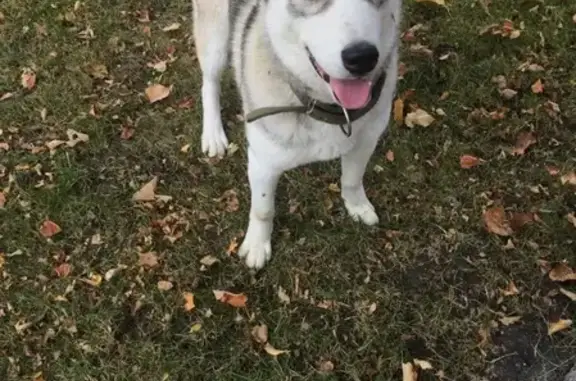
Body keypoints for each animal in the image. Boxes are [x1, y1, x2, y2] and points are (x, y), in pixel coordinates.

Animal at [192, 0, 400, 268]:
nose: (362, 58)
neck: (326, 107)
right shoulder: (263, 163)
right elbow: (263, 209)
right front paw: (257, 245)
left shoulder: (365, 142)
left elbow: (352, 180)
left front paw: (357, 206)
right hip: (216, 34)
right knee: (209, 81)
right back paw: (213, 133)